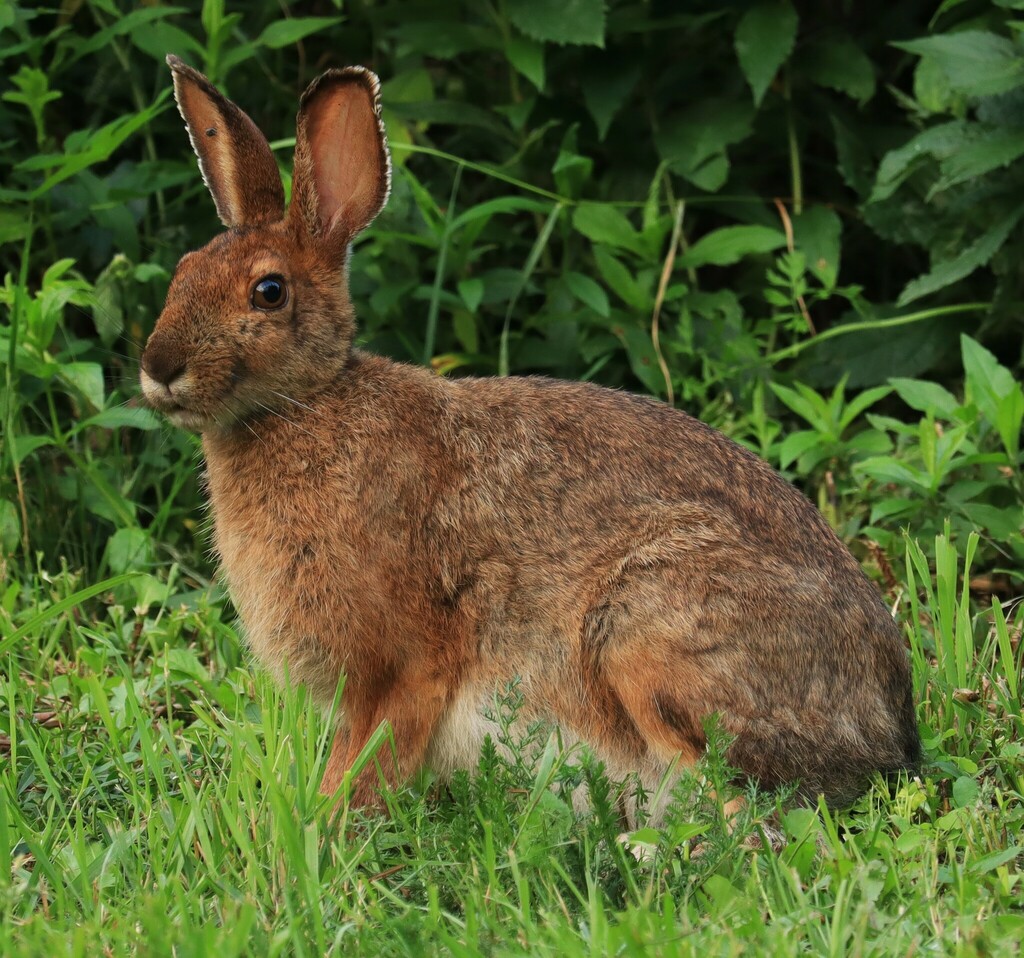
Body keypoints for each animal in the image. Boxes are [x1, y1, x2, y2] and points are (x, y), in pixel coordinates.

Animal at [140, 55, 921, 815]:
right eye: (183, 271)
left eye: (268, 293)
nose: (158, 368)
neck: (308, 403)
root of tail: (886, 733)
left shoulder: (404, 668)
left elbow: (366, 762)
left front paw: (323, 828)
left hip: (647, 630)